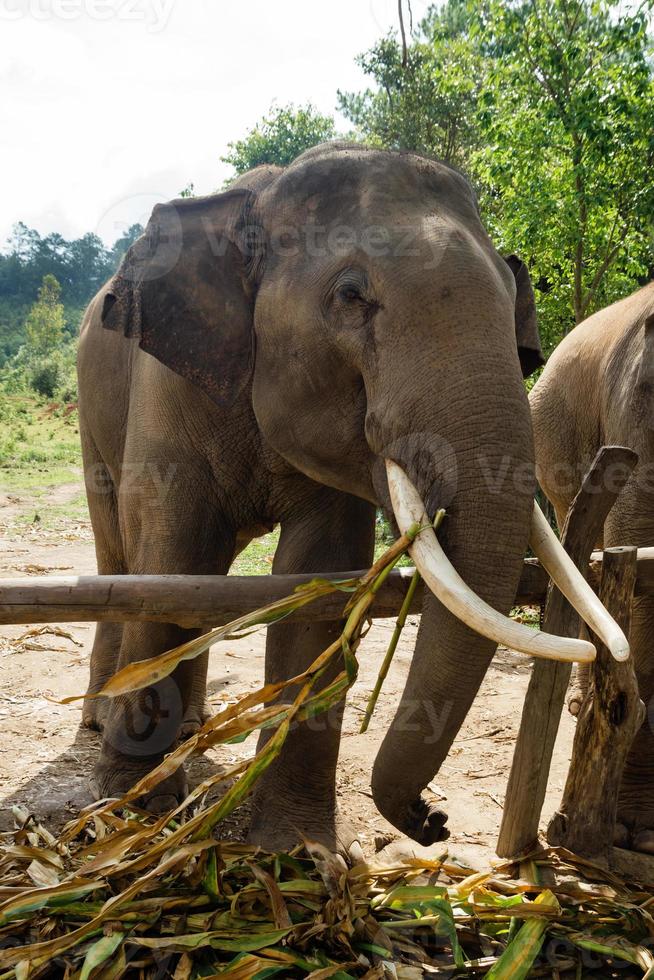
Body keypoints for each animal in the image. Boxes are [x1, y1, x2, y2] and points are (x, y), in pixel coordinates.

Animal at [78, 142, 616, 852]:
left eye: (511, 303)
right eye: (351, 296)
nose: (432, 820)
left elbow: (318, 579)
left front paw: (297, 851)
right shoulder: (167, 386)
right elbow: (168, 557)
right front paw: (132, 811)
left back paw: (188, 730)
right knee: (123, 554)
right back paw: (102, 727)